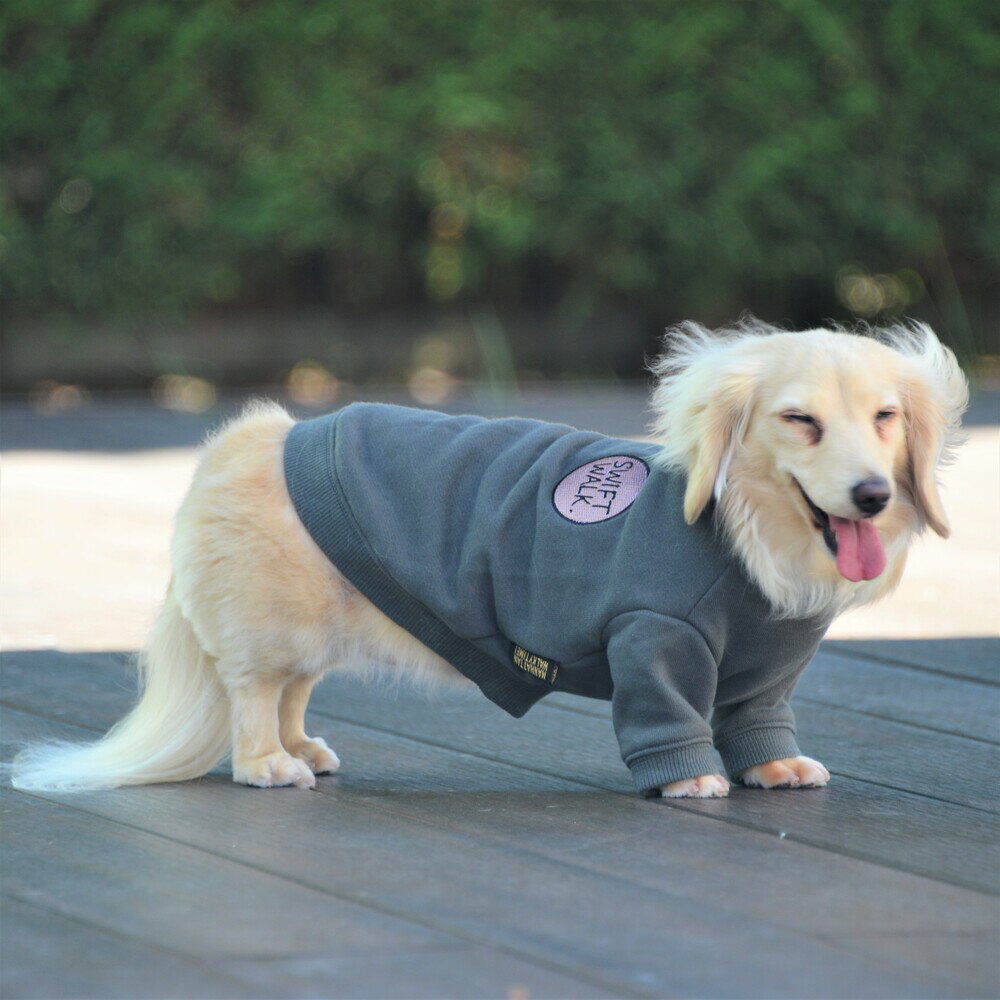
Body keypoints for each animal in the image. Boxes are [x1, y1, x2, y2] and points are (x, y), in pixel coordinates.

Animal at [10, 320, 967, 799]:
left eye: (885, 418)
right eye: (800, 421)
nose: (872, 495)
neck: (748, 535)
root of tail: (251, 439)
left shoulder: (765, 677)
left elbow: (760, 720)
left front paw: (774, 768)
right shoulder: (654, 641)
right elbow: (670, 724)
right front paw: (695, 781)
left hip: (306, 637)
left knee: (291, 695)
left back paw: (304, 748)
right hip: (267, 635)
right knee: (254, 701)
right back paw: (270, 767)